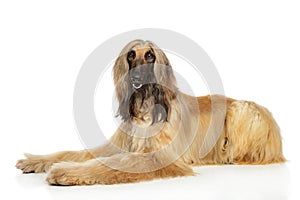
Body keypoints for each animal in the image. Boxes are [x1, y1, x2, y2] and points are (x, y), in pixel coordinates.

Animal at [15, 39, 284, 186]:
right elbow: (75, 152)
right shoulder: (117, 145)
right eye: (131, 55)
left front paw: (63, 171)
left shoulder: (158, 156)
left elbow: (112, 164)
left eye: (151, 55)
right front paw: (35, 160)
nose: (135, 79)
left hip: (242, 110)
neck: (144, 108)